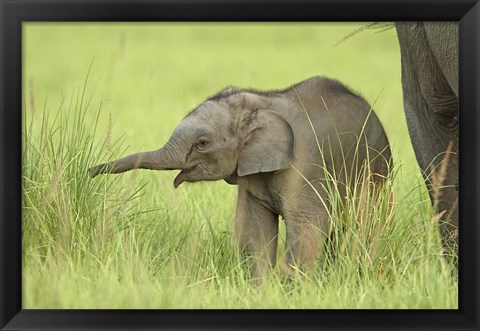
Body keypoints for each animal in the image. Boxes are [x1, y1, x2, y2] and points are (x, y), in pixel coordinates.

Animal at [89, 76, 390, 278]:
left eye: (202, 143)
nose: (89, 171)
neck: (261, 103)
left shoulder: (305, 165)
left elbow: (308, 225)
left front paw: (292, 291)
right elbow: (253, 228)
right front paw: (262, 290)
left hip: (376, 169)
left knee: (365, 222)